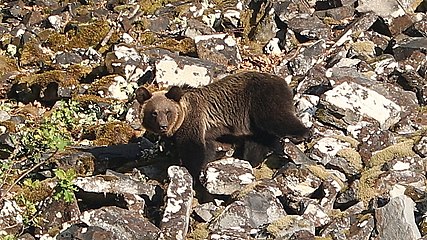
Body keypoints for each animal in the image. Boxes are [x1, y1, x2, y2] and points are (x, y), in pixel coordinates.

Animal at [137, 71, 310, 182]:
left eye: (168, 111)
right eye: (154, 113)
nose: (163, 126)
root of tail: (283, 81)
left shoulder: (193, 121)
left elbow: (193, 150)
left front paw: (192, 172)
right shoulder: (205, 132)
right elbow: (207, 149)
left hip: (262, 100)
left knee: (277, 119)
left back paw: (302, 134)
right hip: (253, 123)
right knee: (258, 141)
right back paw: (251, 160)